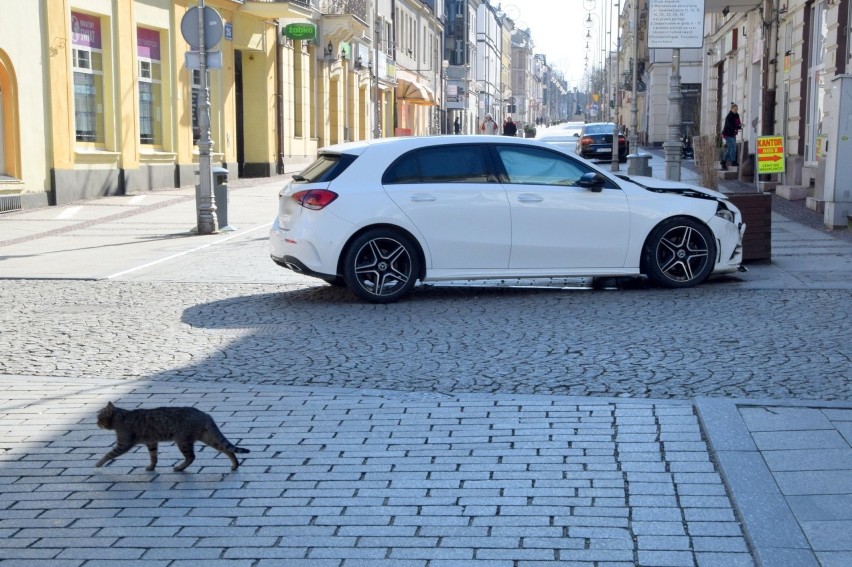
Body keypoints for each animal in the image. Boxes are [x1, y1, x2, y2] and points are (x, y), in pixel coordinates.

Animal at [98, 402, 250, 472]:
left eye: (99, 417)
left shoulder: (123, 443)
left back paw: (179, 467)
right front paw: (152, 467)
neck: (120, 417)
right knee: (227, 449)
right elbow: (153, 457)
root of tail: (204, 414)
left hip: (182, 440)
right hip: (207, 437)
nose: (96, 423)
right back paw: (235, 464)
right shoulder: (151, 442)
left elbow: (109, 454)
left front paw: (98, 463)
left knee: (191, 457)